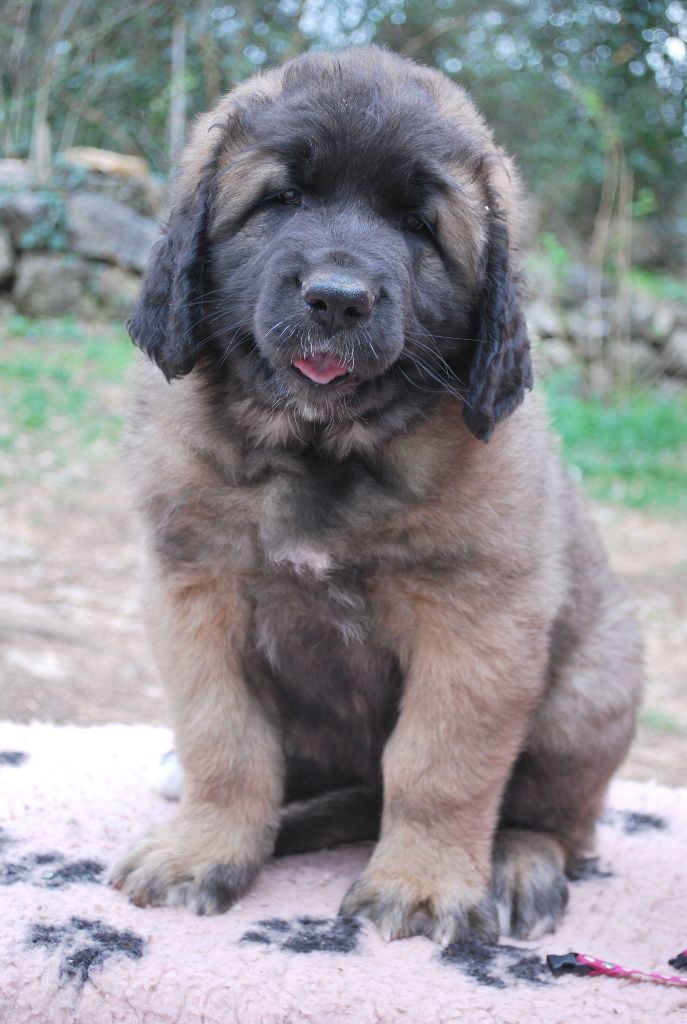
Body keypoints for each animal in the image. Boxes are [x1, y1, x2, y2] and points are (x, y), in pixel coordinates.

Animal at [111, 45, 642, 945]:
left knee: (556, 822)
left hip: (589, 696)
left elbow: (439, 763)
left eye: (419, 228)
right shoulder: (195, 591)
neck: (321, 452)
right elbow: (224, 742)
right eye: (282, 200)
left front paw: (421, 883)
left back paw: (517, 863)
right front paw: (202, 849)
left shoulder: (476, 621)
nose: (336, 297)